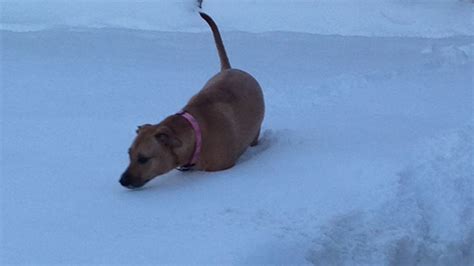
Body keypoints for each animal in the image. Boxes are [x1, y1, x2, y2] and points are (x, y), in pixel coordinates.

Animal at [118, 11, 264, 187]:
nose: (122, 180)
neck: (197, 134)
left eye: (143, 159)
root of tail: (229, 69)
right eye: (129, 154)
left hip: (255, 131)